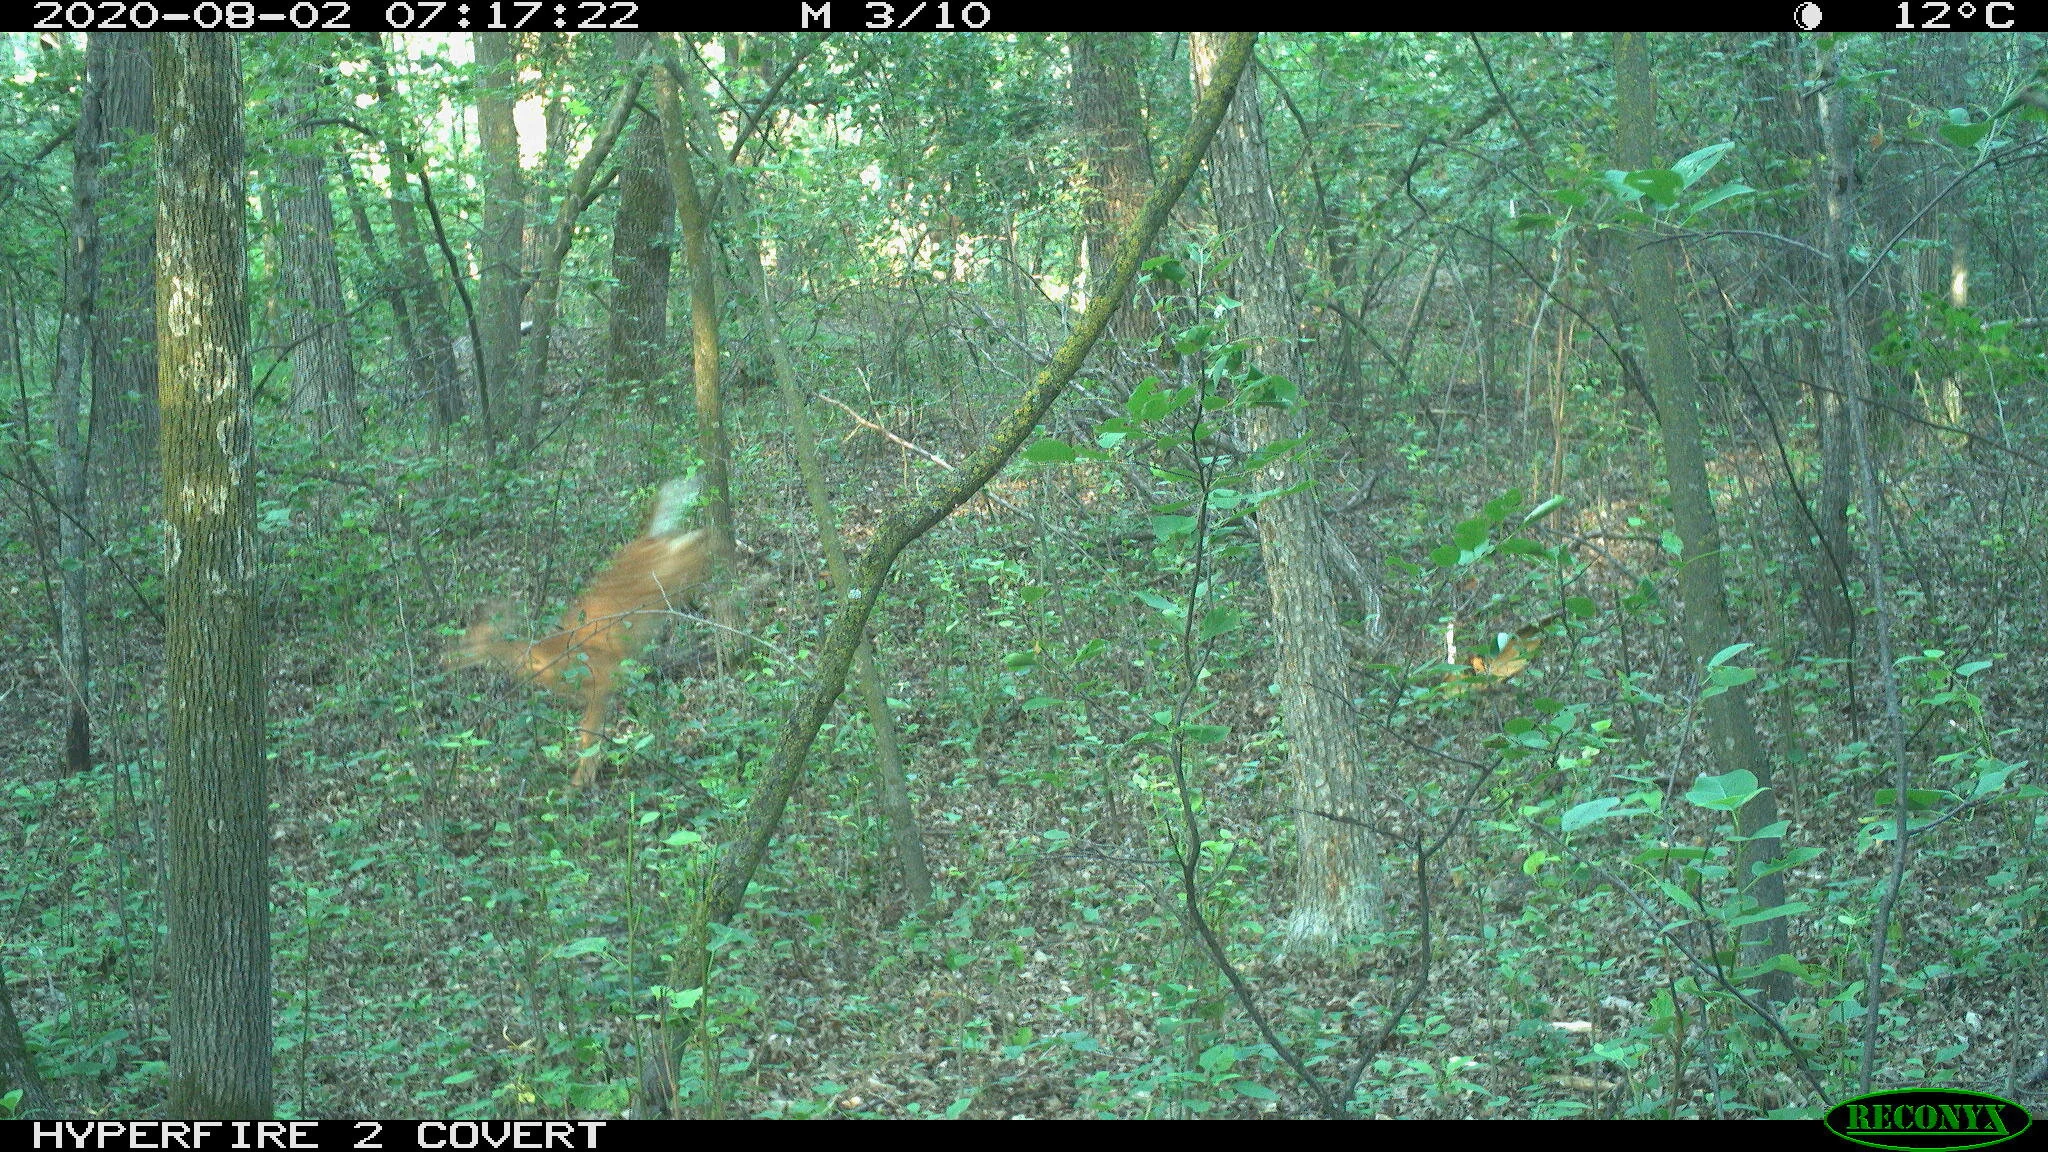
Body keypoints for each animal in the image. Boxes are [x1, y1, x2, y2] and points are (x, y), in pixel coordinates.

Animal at [446, 476, 726, 787]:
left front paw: (578, 783)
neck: (546, 660)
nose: (444, 660)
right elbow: (590, 736)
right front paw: (586, 775)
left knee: (697, 540)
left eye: (467, 645)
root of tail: (643, 540)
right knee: (683, 536)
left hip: (666, 574)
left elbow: (587, 737)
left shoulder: (601, 679)